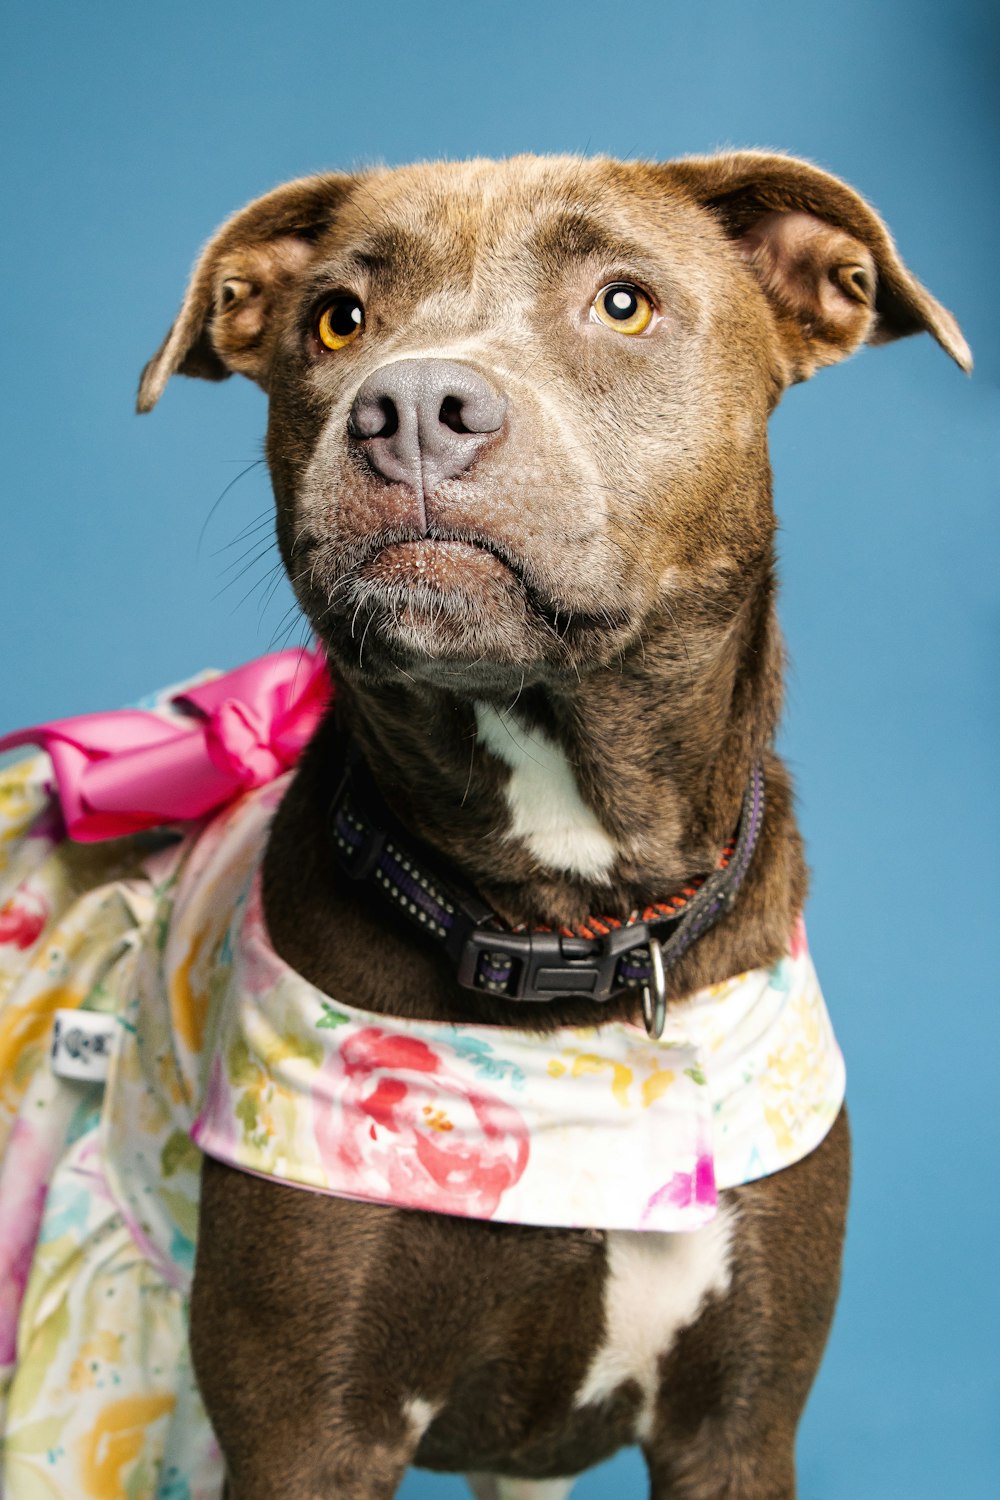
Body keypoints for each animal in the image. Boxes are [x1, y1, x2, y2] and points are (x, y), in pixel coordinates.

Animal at [0, 152, 971, 1500]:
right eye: (336, 319)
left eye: (622, 302)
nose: (409, 406)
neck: (572, 936)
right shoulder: (306, 1430)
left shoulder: (737, 1425)